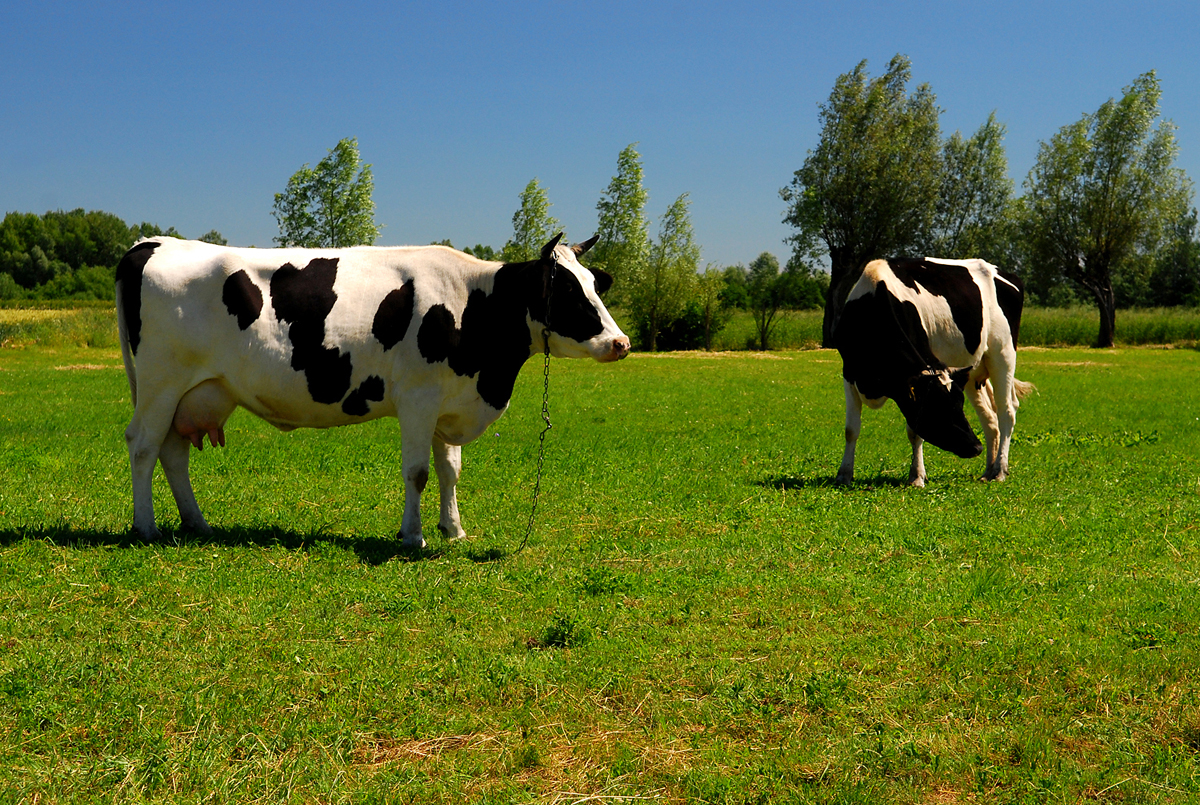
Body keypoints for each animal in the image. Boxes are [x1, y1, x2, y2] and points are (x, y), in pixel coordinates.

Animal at [115, 234, 630, 547]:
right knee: (143, 446)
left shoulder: (446, 404)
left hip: (194, 391)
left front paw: (454, 529)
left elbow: (451, 471)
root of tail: (153, 243)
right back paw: (146, 527)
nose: (621, 343)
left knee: (173, 452)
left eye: (594, 285)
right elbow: (418, 473)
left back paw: (196, 522)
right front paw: (413, 536)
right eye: (568, 291)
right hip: (161, 383)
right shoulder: (419, 400)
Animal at [832, 257, 1034, 487]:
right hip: (972, 371)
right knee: (989, 416)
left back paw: (1000, 469)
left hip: (1003, 353)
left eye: (958, 404)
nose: (976, 447)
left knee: (1006, 410)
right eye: (937, 406)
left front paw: (917, 475)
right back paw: (988, 470)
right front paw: (844, 474)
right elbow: (851, 429)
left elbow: (914, 432)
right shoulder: (849, 373)